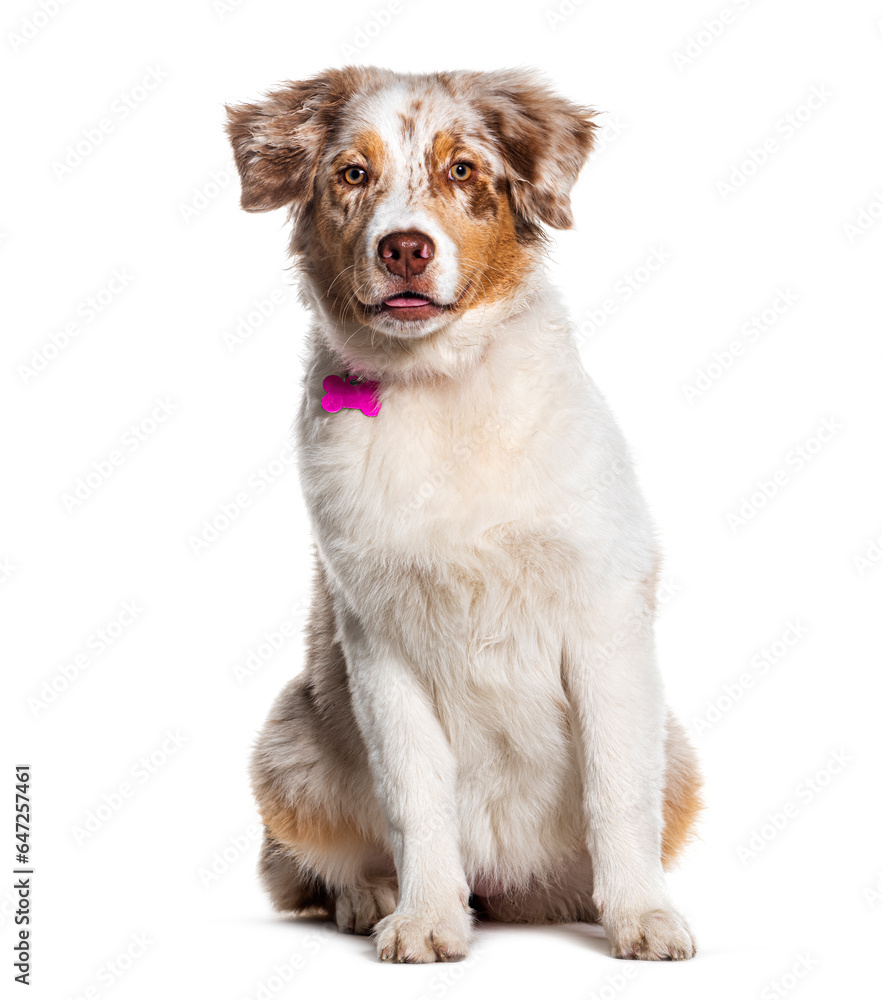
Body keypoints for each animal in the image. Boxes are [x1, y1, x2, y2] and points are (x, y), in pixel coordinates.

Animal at [225, 68, 700, 960]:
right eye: (352, 174)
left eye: (463, 171)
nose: (404, 248)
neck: (440, 387)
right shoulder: (378, 638)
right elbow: (415, 795)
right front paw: (425, 919)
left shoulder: (604, 617)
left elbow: (618, 786)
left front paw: (641, 915)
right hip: (289, 742)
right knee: (304, 865)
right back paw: (369, 895)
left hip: (679, 750)